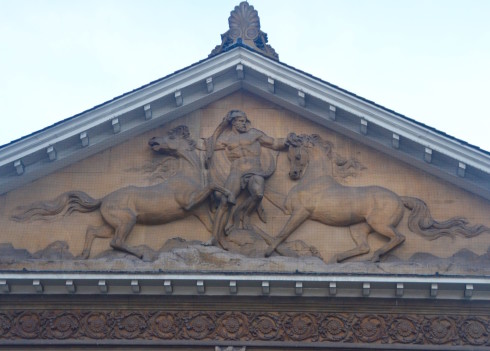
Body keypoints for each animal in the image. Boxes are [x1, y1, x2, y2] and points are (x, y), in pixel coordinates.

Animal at [266, 133, 488, 262]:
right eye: (289, 156)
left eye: (297, 155)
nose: (293, 174)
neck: (315, 178)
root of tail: (399, 197)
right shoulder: (287, 207)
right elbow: (270, 196)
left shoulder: (300, 212)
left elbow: (284, 231)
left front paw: (268, 251)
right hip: (358, 227)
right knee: (364, 246)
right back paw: (339, 258)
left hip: (378, 223)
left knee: (398, 237)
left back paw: (375, 257)